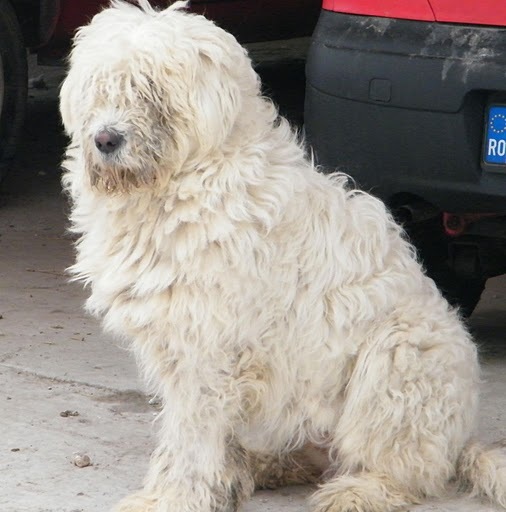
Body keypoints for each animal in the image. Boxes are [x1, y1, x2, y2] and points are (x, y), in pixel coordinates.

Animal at [61, 1, 506, 512]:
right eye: (102, 87)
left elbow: (188, 439)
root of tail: (460, 442)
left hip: (398, 355)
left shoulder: (205, 349)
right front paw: (213, 483)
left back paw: (360, 489)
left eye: (150, 89)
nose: (106, 140)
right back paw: (265, 466)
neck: (182, 185)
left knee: (409, 469)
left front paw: (171, 497)